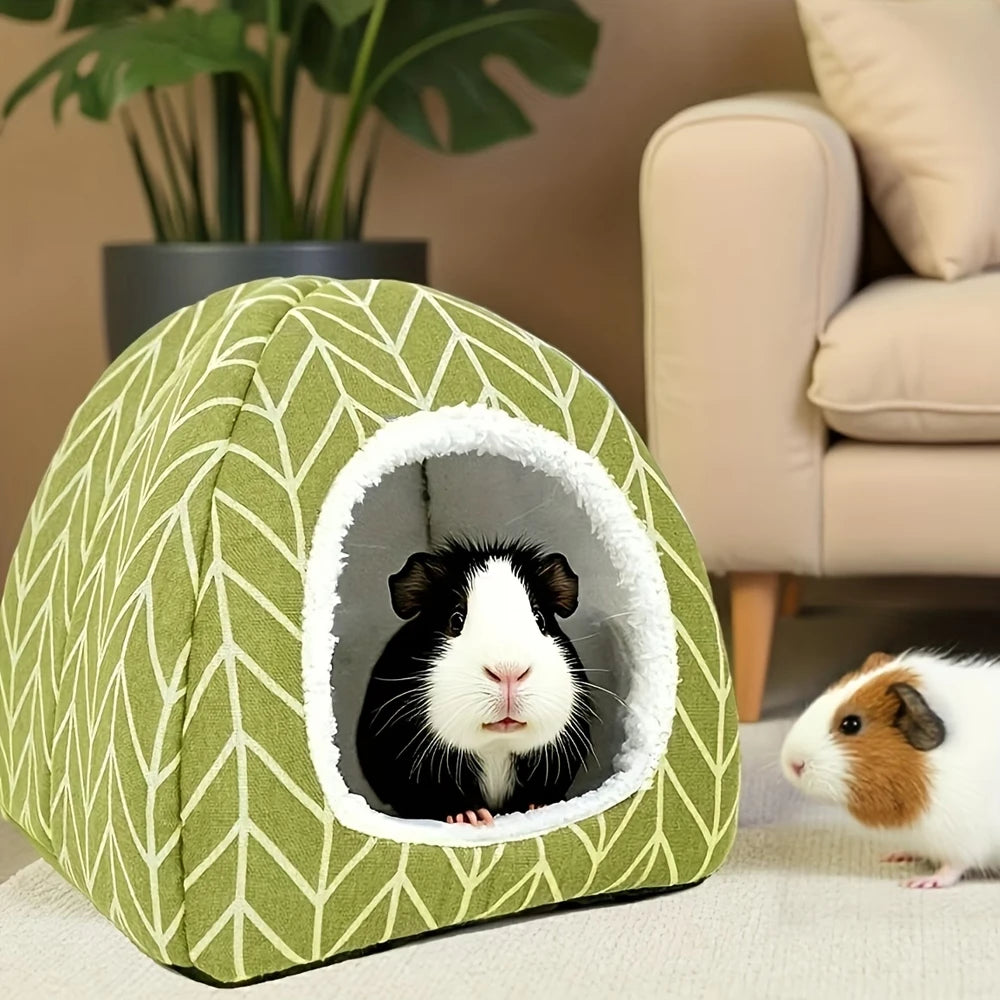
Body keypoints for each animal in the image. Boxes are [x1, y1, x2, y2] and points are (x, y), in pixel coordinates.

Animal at [356, 537, 593, 827]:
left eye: (540, 620)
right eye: (456, 619)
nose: (508, 672)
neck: (496, 747)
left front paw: (539, 807)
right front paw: (473, 817)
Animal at [780, 649, 1000, 889]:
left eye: (851, 724)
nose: (792, 764)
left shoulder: (964, 840)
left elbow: (952, 868)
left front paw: (920, 882)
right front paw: (895, 856)